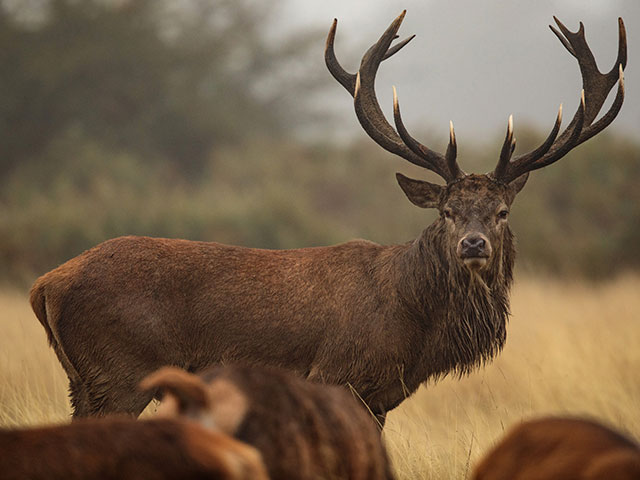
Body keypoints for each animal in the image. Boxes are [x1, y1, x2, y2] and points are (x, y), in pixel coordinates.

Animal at [28, 11, 624, 424]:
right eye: (449, 211)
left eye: (501, 211)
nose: (473, 244)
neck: (413, 324)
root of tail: (45, 285)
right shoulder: (338, 376)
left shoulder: (380, 398)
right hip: (121, 373)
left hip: (84, 381)